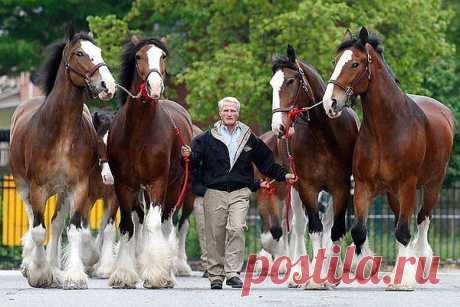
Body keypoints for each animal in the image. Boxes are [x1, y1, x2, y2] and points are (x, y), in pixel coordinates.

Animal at [9, 27, 117, 290]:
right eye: (80, 53)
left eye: (99, 51)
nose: (107, 85)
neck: (61, 135)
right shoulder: (37, 187)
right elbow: (38, 230)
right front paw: (39, 273)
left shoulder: (78, 188)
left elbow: (74, 229)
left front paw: (74, 275)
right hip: (24, 187)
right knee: (32, 220)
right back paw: (33, 264)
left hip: (62, 192)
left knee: (57, 225)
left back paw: (55, 267)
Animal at [107, 37, 192, 290]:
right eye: (138, 57)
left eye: (163, 56)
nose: (155, 87)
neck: (139, 133)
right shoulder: (124, 185)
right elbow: (127, 227)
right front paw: (124, 275)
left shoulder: (157, 183)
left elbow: (154, 226)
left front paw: (156, 275)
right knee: (140, 223)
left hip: (174, 188)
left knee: (164, 224)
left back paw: (168, 273)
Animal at [270, 45, 360, 288]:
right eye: (271, 84)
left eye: (291, 81)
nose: (278, 126)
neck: (323, 135)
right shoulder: (307, 187)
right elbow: (314, 228)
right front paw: (315, 279)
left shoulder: (340, 187)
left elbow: (335, 230)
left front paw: (331, 273)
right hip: (293, 187)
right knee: (299, 225)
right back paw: (297, 272)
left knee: (329, 224)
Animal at [324, 27, 456, 290]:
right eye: (336, 61)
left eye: (355, 63)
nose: (330, 102)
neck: (387, 129)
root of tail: (445, 113)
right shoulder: (363, 185)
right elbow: (359, 230)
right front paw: (363, 265)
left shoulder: (407, 184)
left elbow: (405, 231)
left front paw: (401, 281)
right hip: (394, 194)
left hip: (431, 186)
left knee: (422, 221)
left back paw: (420, 263)